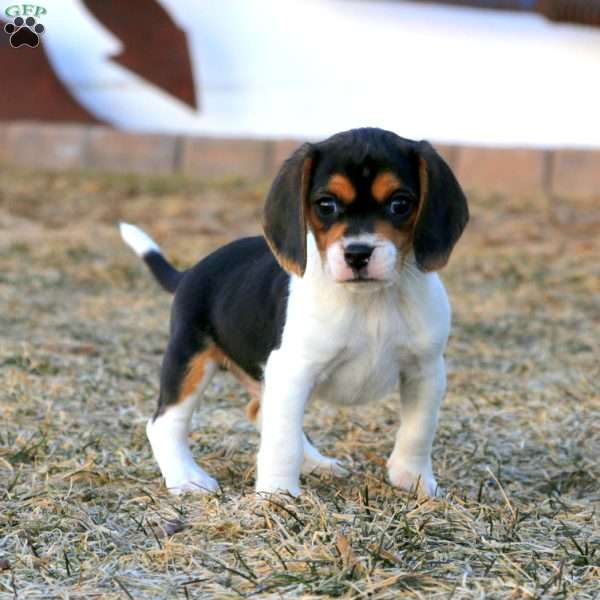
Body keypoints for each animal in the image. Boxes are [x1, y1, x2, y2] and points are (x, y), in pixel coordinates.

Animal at [119, 129, 468, 500]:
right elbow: (282, 441)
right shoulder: (292, 371)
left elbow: (418, 432)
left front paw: (412, 479)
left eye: (400, 204)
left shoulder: (425, 371)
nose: (358, 254)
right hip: (190, 361)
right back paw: (187, 478)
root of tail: (190, 272)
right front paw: (277, 496)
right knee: (164, 423)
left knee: (261, 413)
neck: (370, 301)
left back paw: (317, 463)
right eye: (326, 205)